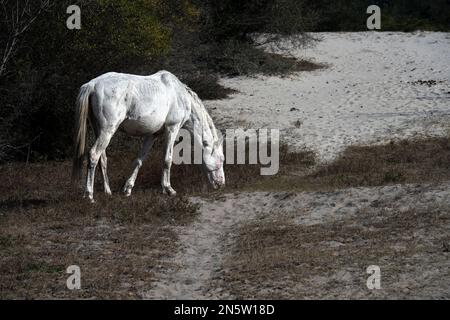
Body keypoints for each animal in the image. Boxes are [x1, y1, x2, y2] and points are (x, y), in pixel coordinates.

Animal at [72, 70, 225, 201]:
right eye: (221, 159)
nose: (221, 183)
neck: (180, 96)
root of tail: (91, 85)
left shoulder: (152, 135)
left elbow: (139, 160)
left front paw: (128, 189)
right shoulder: (172, 128)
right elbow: (167, 160)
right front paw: (168, 189)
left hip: (99, 130)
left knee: (102, 159)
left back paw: (108, 192)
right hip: (107, 130)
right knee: (93, 155)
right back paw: (89, 195)